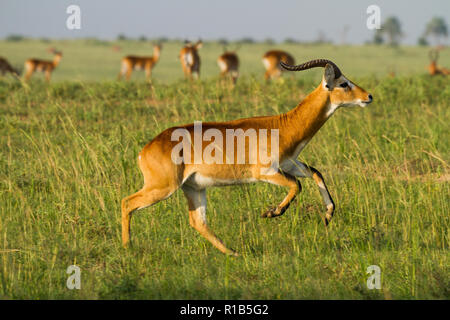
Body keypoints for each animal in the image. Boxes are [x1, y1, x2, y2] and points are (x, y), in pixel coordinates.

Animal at [122, 58, 372, 256]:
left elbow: (316, 174)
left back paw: (233, 253)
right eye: (344, 83)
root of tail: (145, 150)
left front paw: (328, 215)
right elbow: (297, 185)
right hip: (164, 187)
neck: (284, 126)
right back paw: (128, 248)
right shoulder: (265, 172)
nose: (368, 96)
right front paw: (271, 212)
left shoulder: (290, 163)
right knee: (127, 203)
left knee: (198, 221)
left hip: (193, 187)